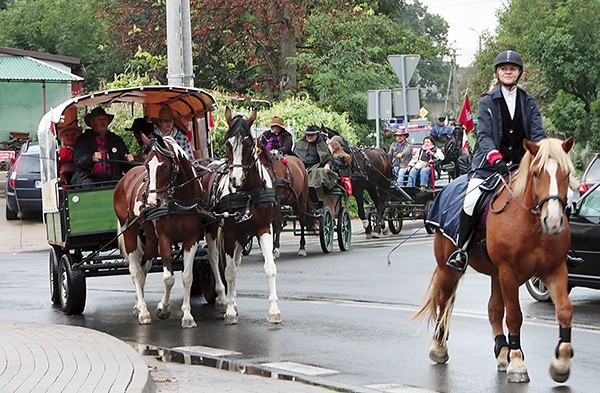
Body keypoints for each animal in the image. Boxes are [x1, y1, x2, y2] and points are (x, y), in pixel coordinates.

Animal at [114, 135, 209, 328]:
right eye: (146, 166)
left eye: (164, 166)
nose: (151, 201)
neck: (180, 201)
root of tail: (125, 178)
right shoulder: (165, 239)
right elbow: (168, 278)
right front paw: (163, 309)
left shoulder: (191, 239)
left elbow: (187, 276)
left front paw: (187, 315)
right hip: (129, 231)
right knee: (135, 270)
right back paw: (143, 311)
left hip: (151, 238)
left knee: (144, 267)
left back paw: (138, 304)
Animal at [202, 107, 282, 324]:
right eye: (227, 143)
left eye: (248, 143)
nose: (235, 179)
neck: (247, 193)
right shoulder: (229, 232)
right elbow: (229, 271)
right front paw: (229, 310)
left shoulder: (263, 229)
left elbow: (270, 268)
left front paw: (274, 310)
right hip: (213, 229)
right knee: (214, 258)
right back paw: (224, 298)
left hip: (243, 235)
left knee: (236, 262)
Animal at [412, 136, 576, 382]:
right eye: (536, 173)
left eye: (566, 174)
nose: (554, 222)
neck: (531, 224)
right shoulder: (509, 271)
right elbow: (515, 316)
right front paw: (517, 362)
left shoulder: (554, 269)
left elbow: (564, 310)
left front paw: (561, 363)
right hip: (448, 269)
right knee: (443, 301)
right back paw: (439, 348)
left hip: (496, 274)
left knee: (494, 309)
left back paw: (502, 351)